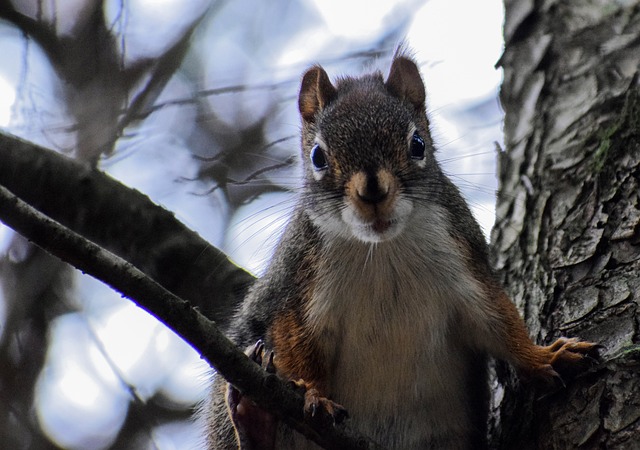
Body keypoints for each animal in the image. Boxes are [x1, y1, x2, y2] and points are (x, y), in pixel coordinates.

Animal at [202, 50, 596, 450]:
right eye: (317, 157)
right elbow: (298, 348)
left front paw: (544, 357)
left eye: (417, 144)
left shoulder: (467, 267)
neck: (382, 250)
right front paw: (315, 394)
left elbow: (501, 325)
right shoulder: (296, 289)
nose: (373, 191)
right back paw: (254, 416)